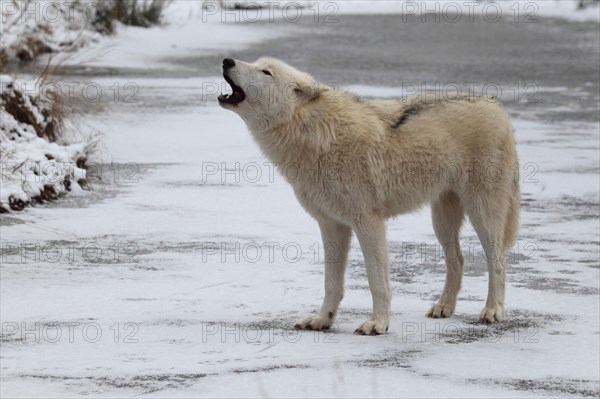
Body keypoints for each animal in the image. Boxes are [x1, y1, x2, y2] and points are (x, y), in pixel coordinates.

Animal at [219, 57, 520, 336]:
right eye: (255, 63)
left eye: (265, 71)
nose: (227, 60)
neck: (316, 135)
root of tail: (496, 105)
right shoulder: (331, 224)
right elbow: (331, 283)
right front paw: (323, 319)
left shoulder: (367, 222)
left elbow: (377, 281)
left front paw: (378, 324)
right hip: (441, 221)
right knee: (458, 259)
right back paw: (444, 307)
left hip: (481, 213)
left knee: (498, 261)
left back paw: (492, 310)